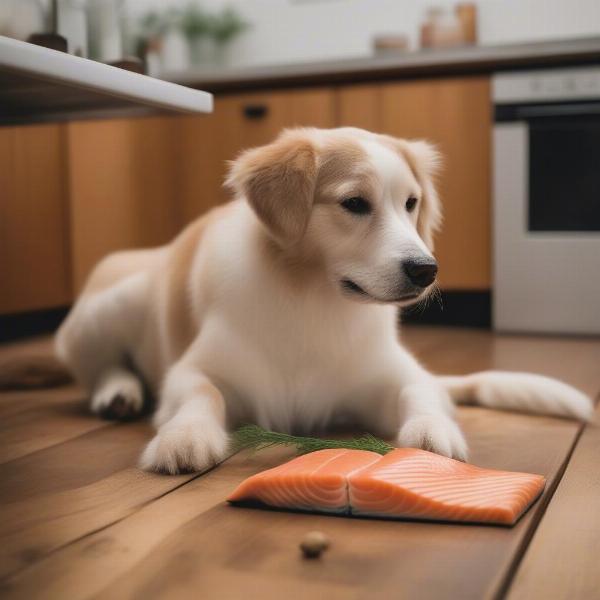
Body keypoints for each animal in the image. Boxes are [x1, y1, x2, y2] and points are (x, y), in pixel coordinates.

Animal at [55, 126, 592, 474]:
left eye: (411, 203)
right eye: (355, 203)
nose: (427, 270)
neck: (313, 301)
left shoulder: (388, 377)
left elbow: (420, 393)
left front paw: (432, 435)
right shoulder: (193, 370)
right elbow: (202, 393)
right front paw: (185, 438)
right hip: (112, 306)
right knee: (99, 366)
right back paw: (117, 392)